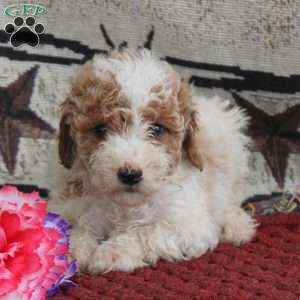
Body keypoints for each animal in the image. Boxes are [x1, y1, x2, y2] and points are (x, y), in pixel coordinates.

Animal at [48, 49, 255, 274]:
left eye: (156, 129)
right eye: (100, 129)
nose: (130, 174)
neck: (125, 205)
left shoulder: (189, 226)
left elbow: (146, 231)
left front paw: (111, 253)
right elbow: (75, 228)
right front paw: (71, 251)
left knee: (229, 200)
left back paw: (238, 226)